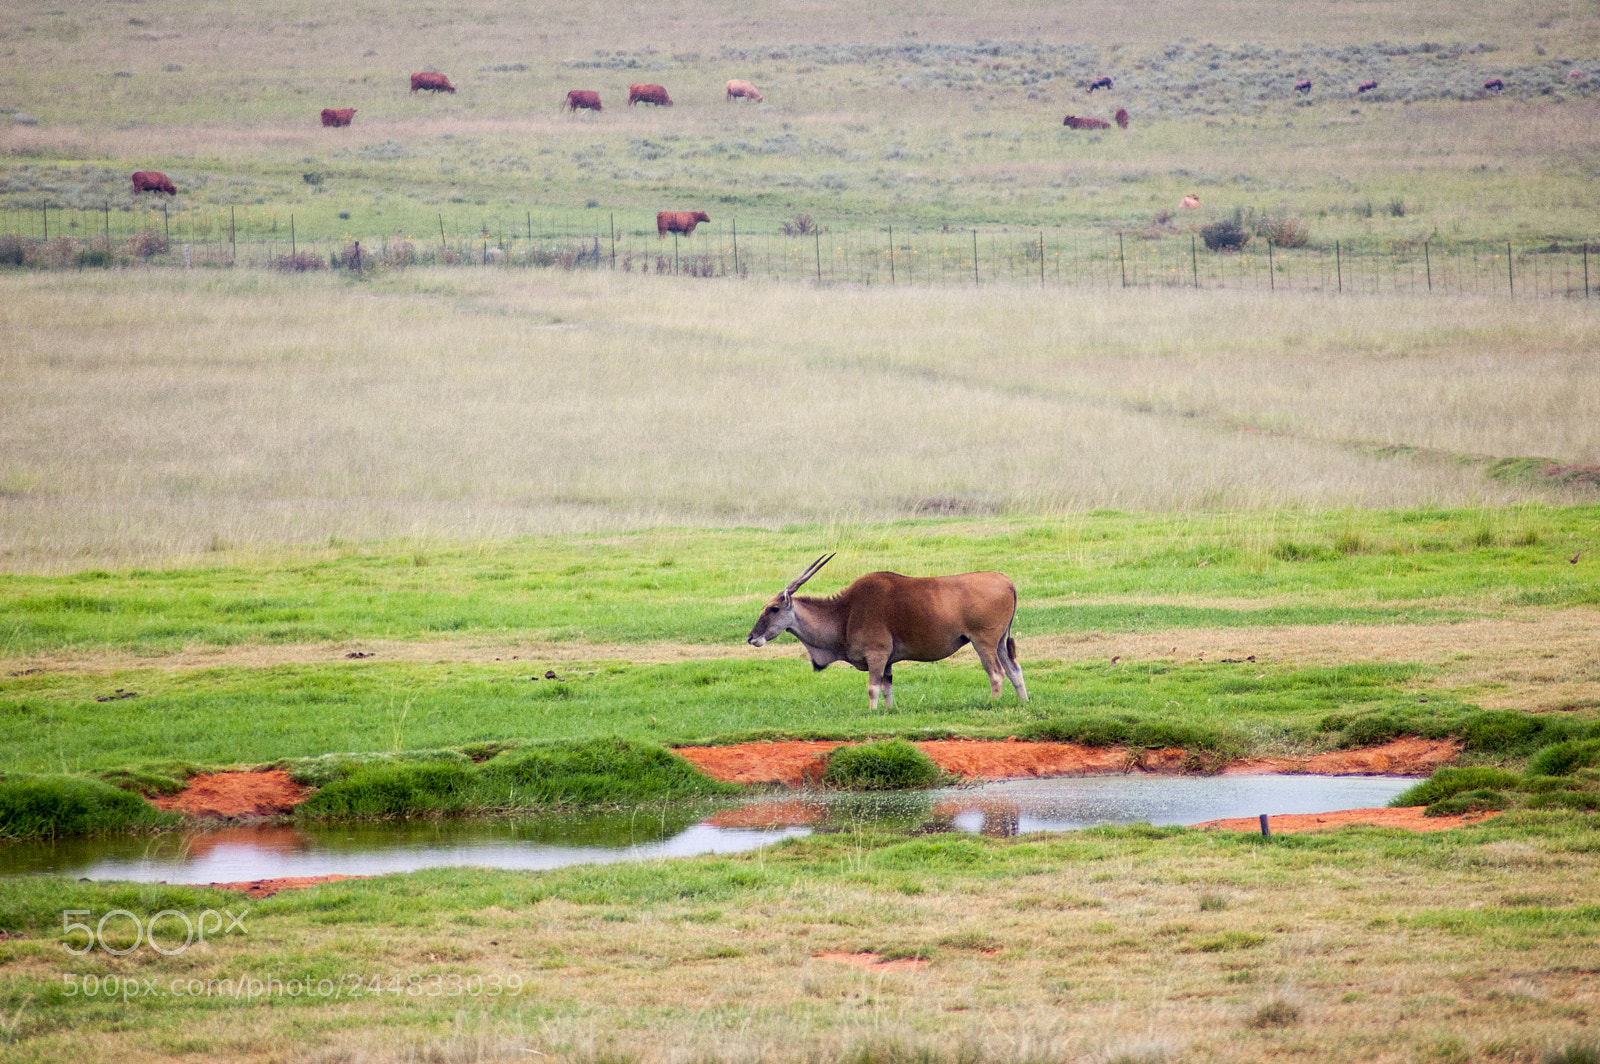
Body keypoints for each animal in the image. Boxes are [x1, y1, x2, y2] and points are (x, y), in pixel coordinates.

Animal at [746, 554, 1028, 710]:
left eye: (772, 609)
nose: (751, 638)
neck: (845, 614)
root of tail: (1008, 582)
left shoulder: (877, 655)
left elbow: (873, 688)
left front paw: (872, 712)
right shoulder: (888, 661)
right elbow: (887, 688)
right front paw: (889, 712)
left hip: (983, 642)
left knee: (997, 674)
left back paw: (993, 704)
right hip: (1000, 642)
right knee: (1015, 670)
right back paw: (1023, 703)